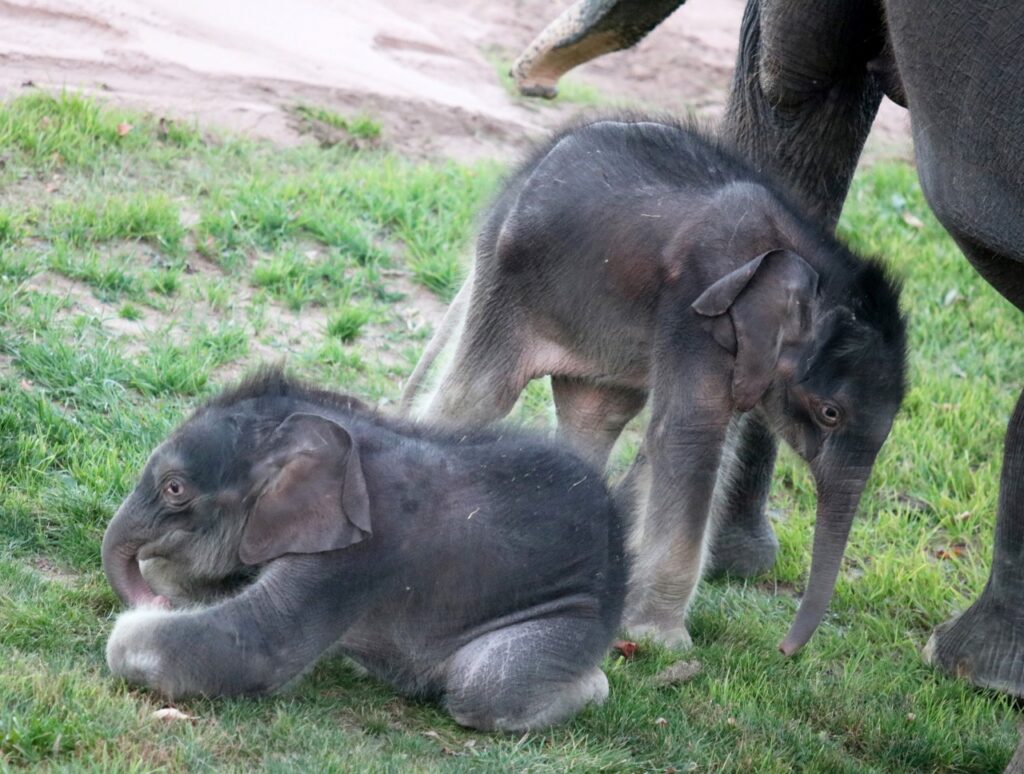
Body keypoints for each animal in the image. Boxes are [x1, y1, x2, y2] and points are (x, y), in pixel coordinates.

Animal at [101, 368, 622, 733]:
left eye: (174, 488)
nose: (157, 603)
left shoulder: (359, 557)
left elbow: (257, 647)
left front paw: (141, 624)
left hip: (576, 616)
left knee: (486, 688)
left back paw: (590, 688)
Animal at [403, 117, 909, 655]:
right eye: (830, 412)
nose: (784, 650)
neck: (814, 264)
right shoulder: (697, 307)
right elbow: (690, 438)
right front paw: (663, 642)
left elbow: (702, 442)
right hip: (511, 283)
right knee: (477, 397)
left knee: (596, 417)